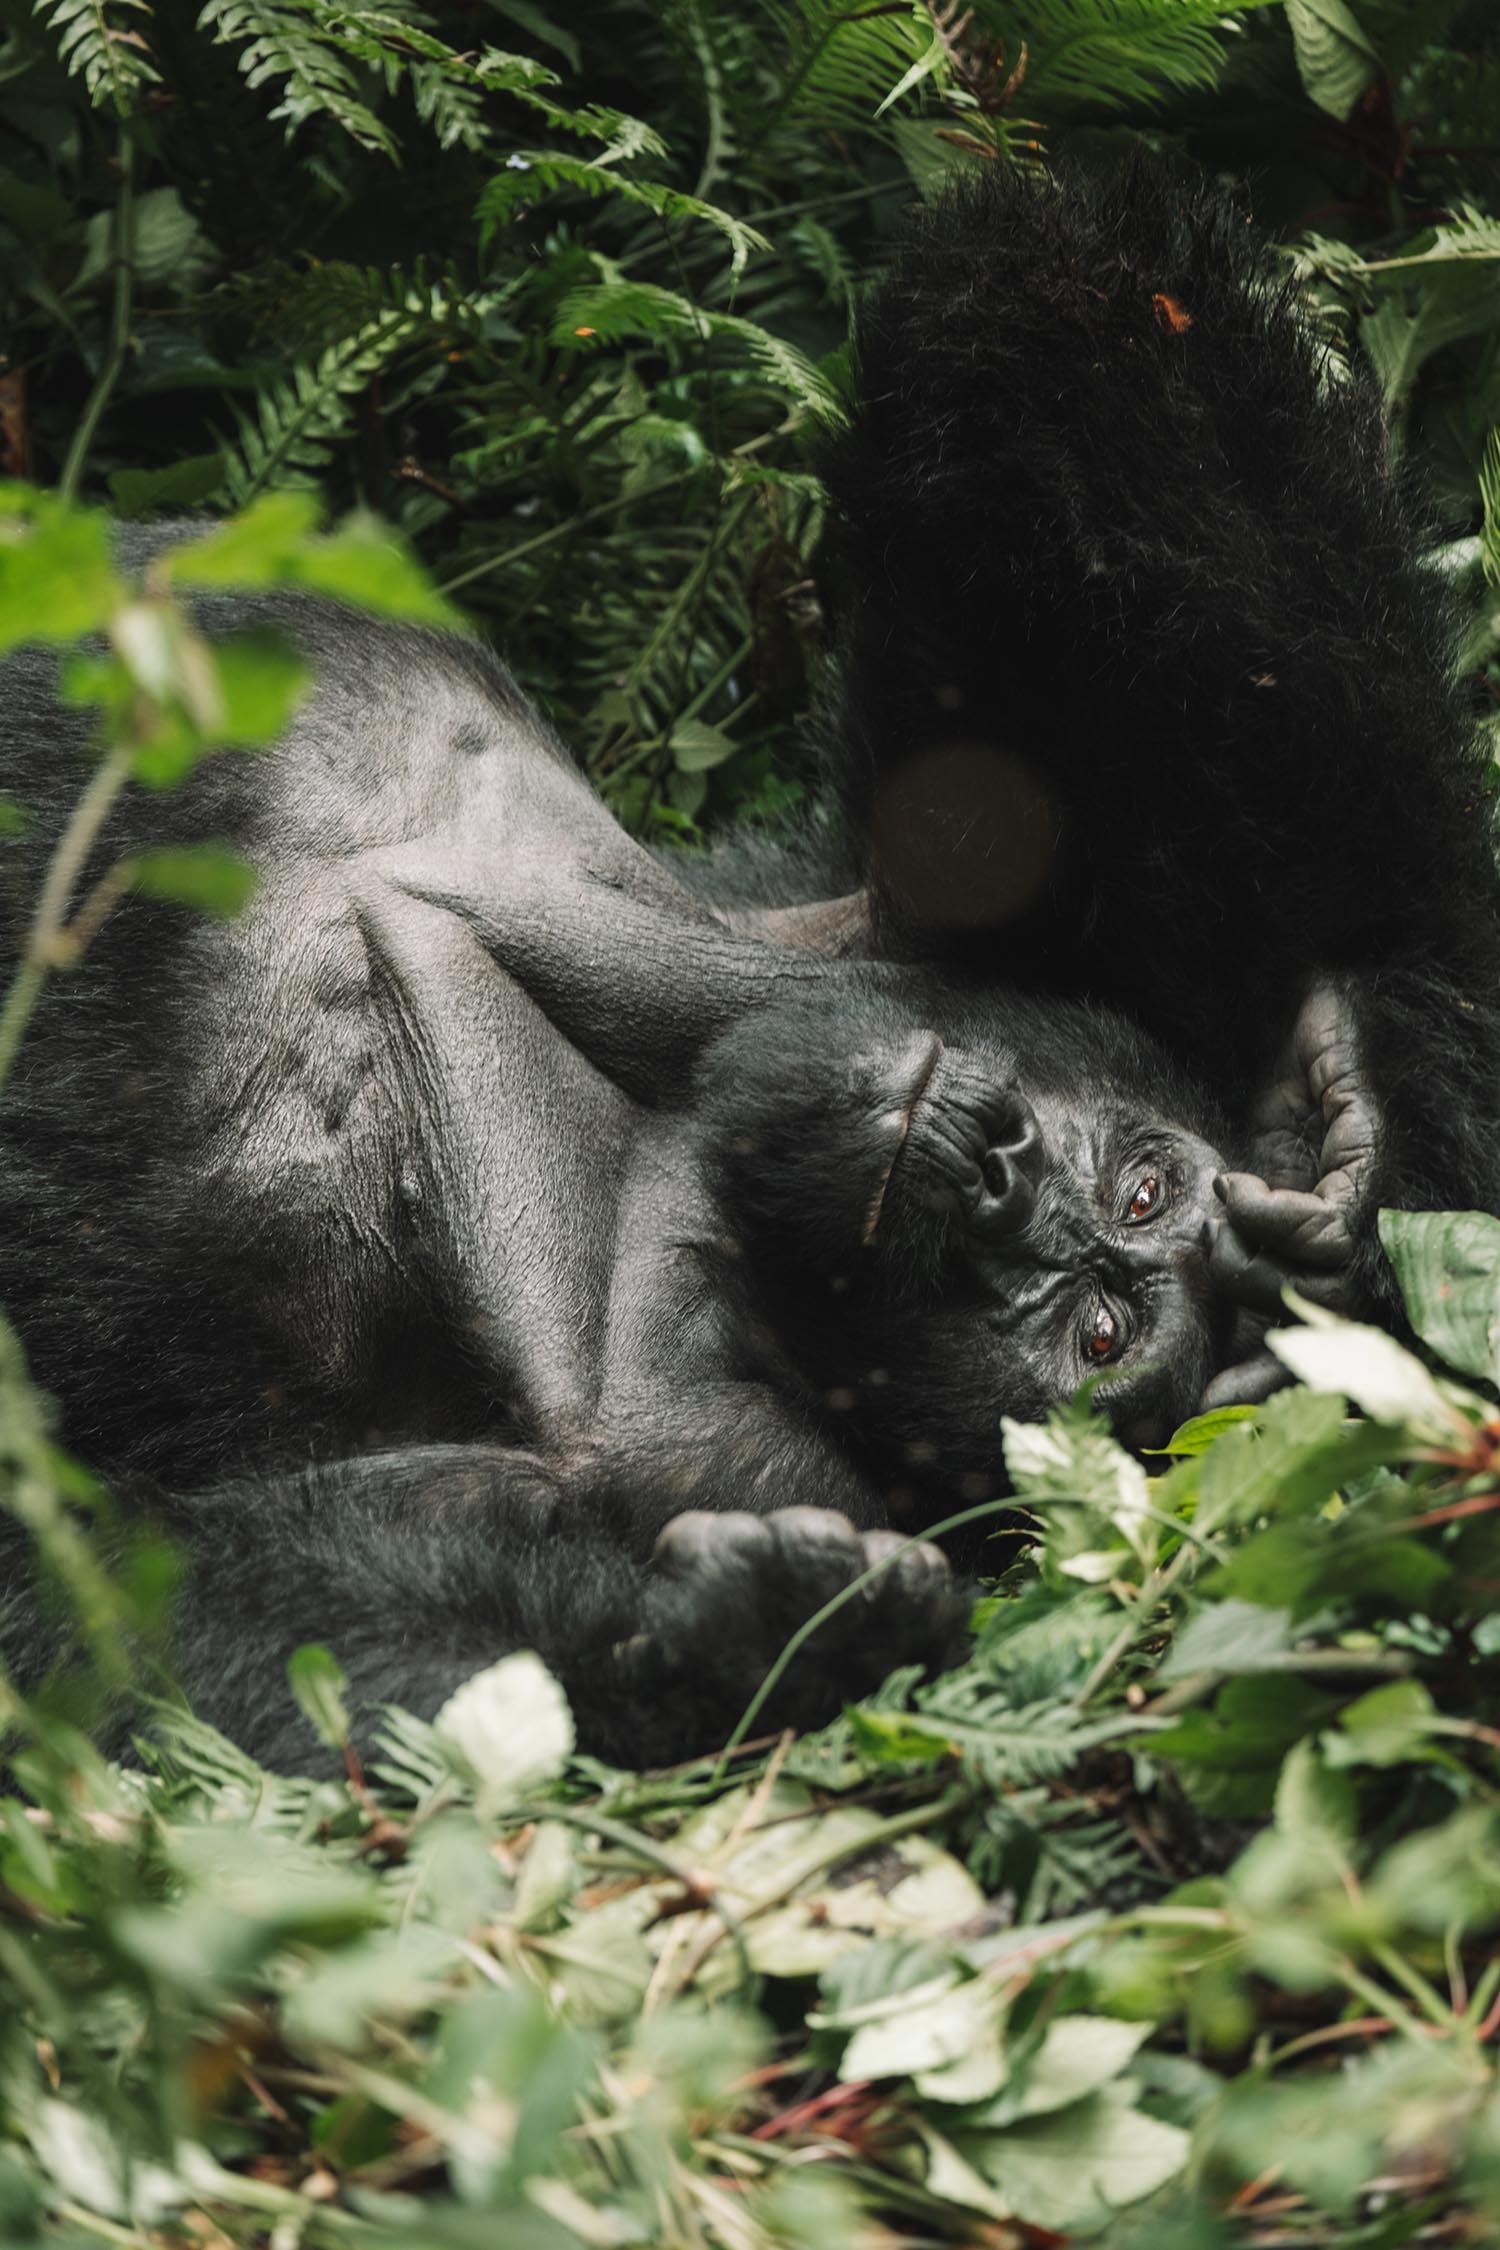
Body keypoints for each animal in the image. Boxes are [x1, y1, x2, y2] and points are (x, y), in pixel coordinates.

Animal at [2, 163, 1500, 1773]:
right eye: (1145, 1190)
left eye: (1097, 1329)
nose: (995, 1174)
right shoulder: (854, 908)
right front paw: (1334, 1136)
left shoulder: (732, 1456)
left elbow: (172, 1609)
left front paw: (740, 1639)